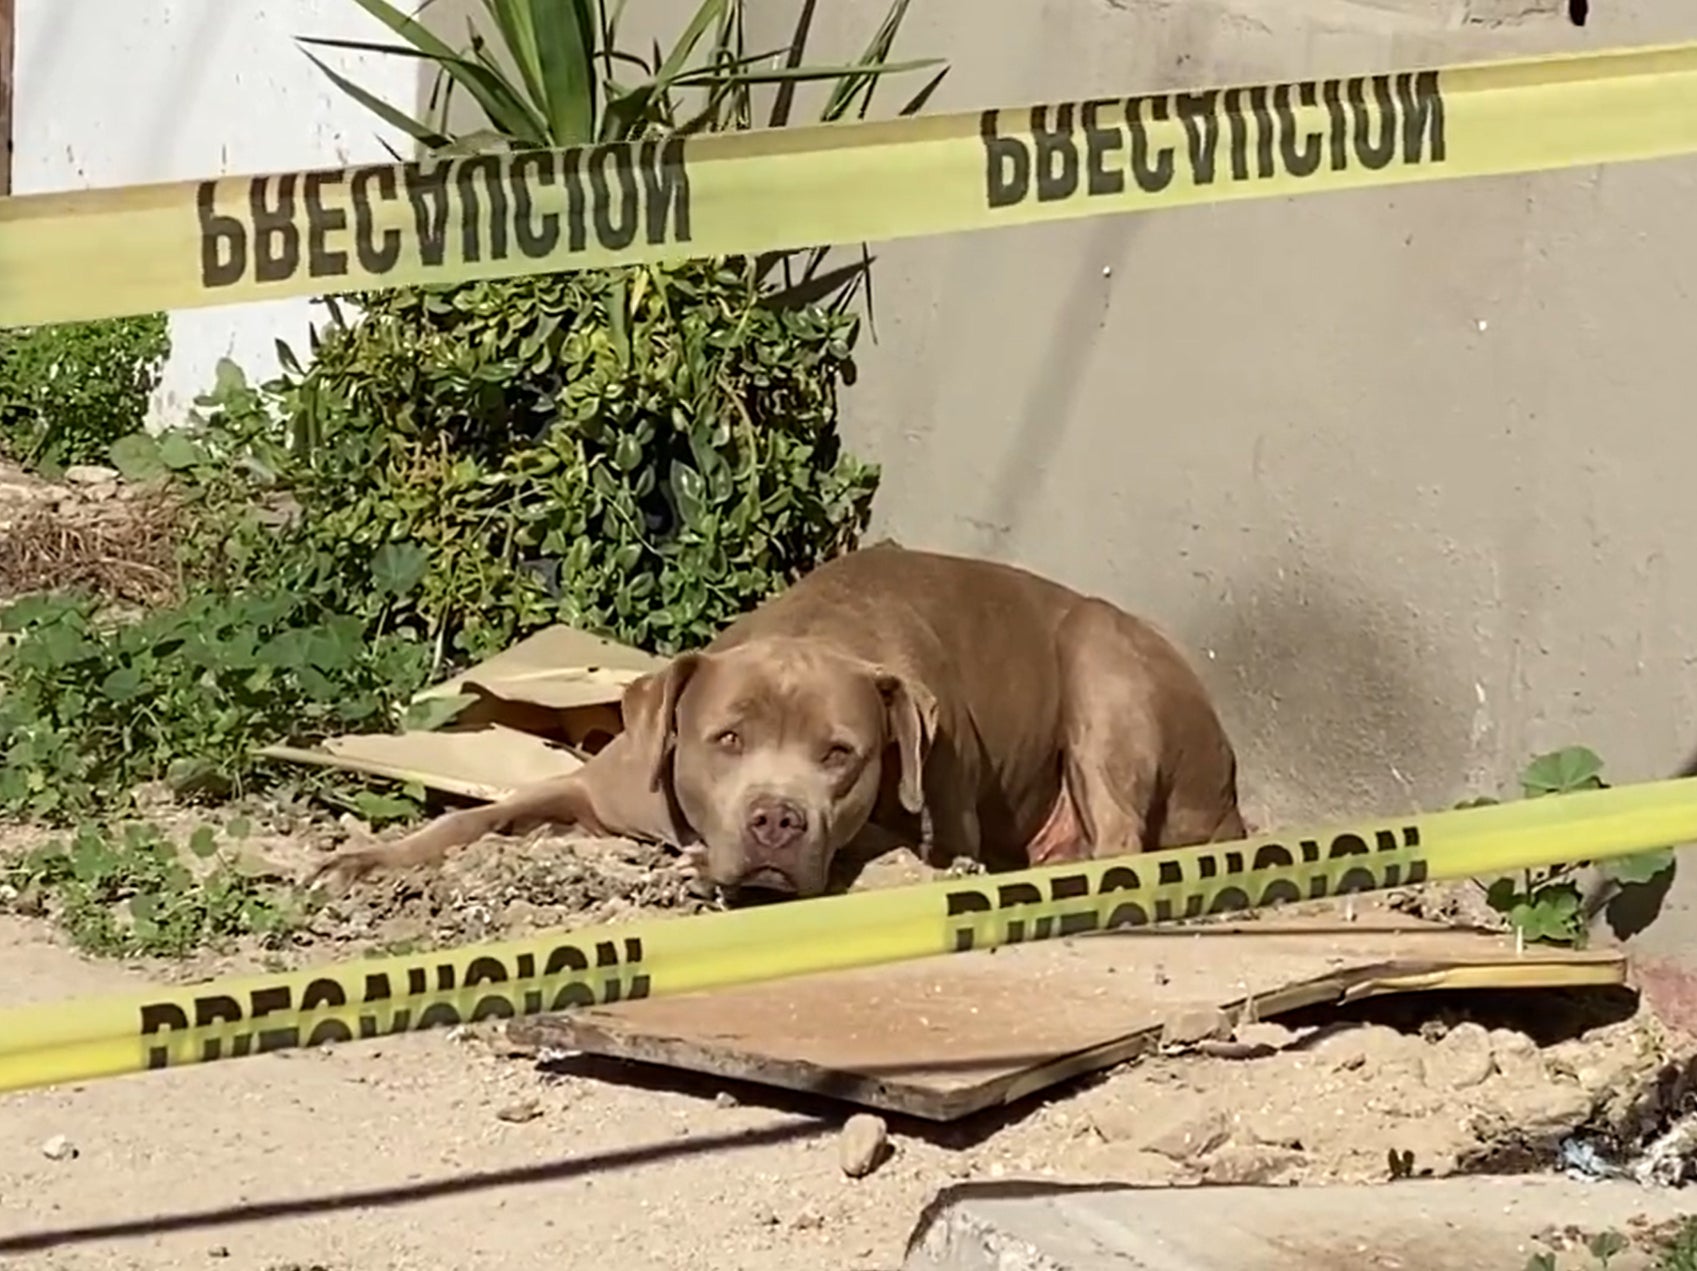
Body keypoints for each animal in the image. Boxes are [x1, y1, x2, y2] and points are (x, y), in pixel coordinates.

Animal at [312, 543, 1248, 889]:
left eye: (841, 754)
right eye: (725, 738)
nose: (774, 818)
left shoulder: (931, 809)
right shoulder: (596, 785)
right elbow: (481, 813)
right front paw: (368, 857)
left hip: (1102, 659)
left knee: (1120, 834)